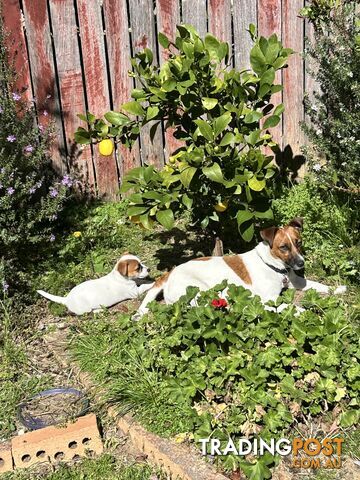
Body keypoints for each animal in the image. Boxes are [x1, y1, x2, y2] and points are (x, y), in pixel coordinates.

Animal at [134, 218, 346, 318]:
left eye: (298, 242)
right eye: (284, 247)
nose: (301, 263)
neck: (275, 267)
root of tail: (169, 274)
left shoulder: (297, 281)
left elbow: (318, 285)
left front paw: (338, 288)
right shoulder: (268, 300)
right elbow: (289, 306)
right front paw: (307, 311)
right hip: (200, 291)